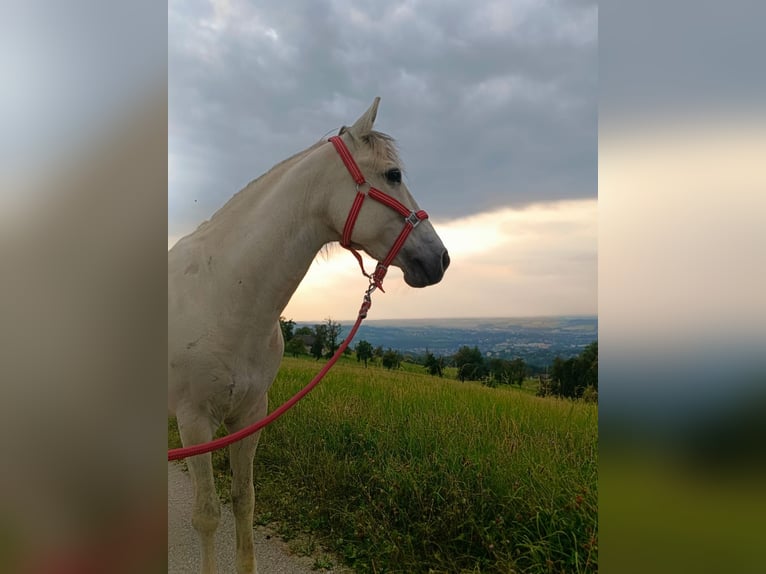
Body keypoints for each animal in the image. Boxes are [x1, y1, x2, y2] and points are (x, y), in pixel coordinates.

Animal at [168, 97, 450, 573]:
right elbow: (207, 515)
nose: (441, 259)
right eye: (393, 175)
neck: (224, 294)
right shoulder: (195, 421)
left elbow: (244, 502)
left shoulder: (249, 417)